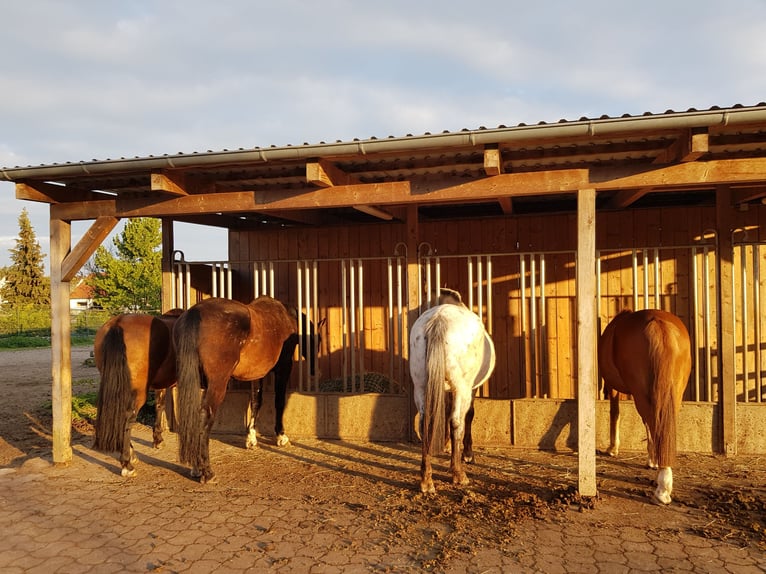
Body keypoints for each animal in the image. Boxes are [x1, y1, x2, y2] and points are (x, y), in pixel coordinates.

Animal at [92, 310, 182, 476]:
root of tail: (118, 324)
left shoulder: (160, 385)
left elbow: (159, 406)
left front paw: (158, 439)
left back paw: (131, 454)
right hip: (137, 393)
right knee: (128, 418)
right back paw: (127, 464)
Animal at [173, 296, 318, 486]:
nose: (314, 370)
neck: (286, 316)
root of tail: (194, 312)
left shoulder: (256, 374)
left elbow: (256, 402)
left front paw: (252, 439)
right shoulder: (283, 368)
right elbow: (279, 402)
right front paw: (281, 436)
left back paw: (195, 469)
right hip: (217, 384)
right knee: (205, 415)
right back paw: (206, 472)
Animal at [412, 288, 500, 496]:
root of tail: (439, 319)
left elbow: (443, 413)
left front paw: (445, 444)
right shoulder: (471, 388)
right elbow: (468, 416)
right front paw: (467, 454)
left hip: (420, 386)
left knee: (425, 422)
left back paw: (426, 481)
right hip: (462, 388)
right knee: (456, 421)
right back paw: (459, 474)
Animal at [600, 310, 696, 504]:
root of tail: (659, 324)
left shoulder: (612, 387)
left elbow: (615, 414)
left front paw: (613, 449)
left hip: (641, 394)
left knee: (651, 421)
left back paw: (662, 488)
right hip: (674, 393)